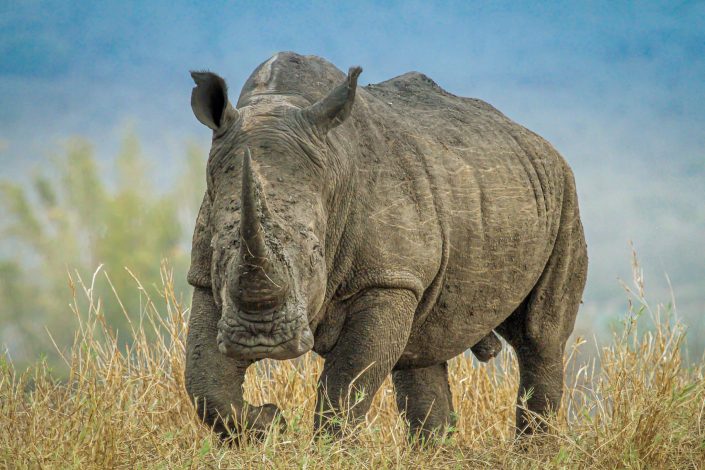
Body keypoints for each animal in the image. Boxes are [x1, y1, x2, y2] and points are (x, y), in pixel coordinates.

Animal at [184, 52, 588, 441]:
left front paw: (328, 447)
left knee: (540, 337)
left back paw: (533, 450)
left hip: (564, 194)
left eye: (315, 254)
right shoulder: (204, 276)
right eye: (219, 252)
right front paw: (270, 424)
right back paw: (434, 451)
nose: (261, 341)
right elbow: (204, 382)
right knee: (422, 350)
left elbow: (347, 383)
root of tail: (538, 141)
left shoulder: (388, 277)